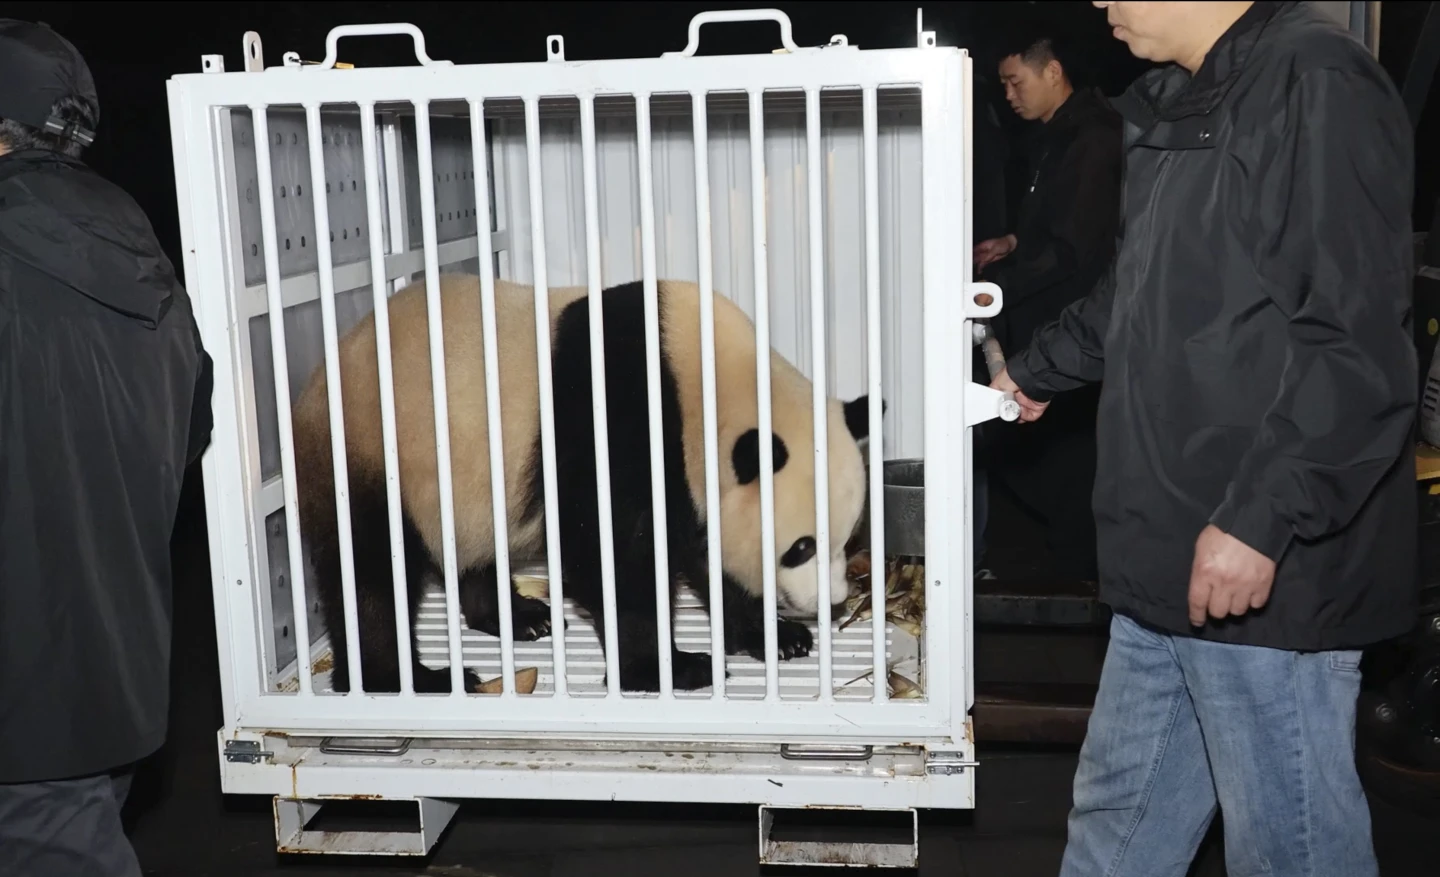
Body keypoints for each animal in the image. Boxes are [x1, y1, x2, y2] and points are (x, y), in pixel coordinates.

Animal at [290, 270, 875, 694]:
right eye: (802, 546)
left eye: (849, 540)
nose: (831, 603)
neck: (701, 385)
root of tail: (313, 385)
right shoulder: (618, 425)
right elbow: (611, 558)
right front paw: (667, 669)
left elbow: (706, 554)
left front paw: (776, 636)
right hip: (372, 449)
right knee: (370, 570)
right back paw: (407, 680)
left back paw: (520, 617)